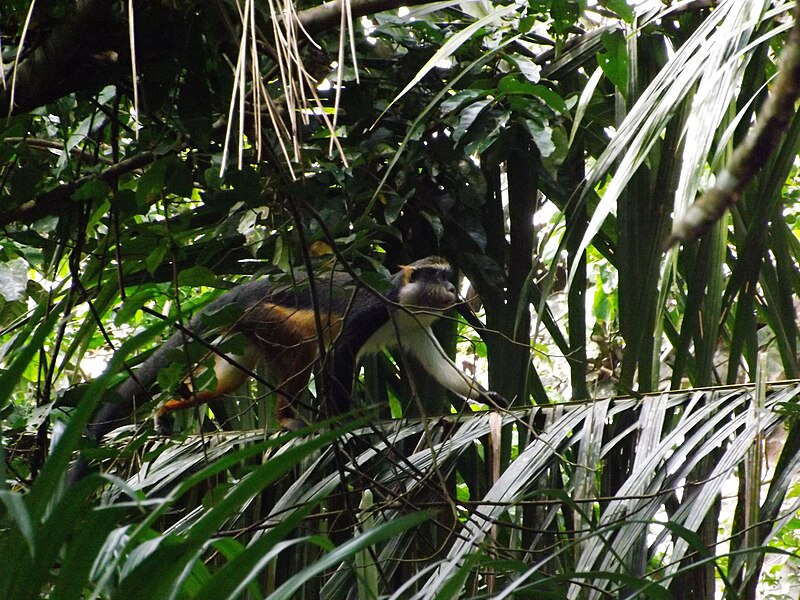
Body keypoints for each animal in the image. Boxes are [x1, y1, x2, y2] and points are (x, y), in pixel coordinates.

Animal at [81, 255, 506, 452]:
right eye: (439, 279)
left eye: (450, 280)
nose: (452, 292)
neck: (402, 300)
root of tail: (242, 293)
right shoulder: (374, 310)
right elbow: (338, 353)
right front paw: (346, 424)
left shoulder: (416, 326)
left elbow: (441, 368)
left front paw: (489, 397)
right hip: (266, 316)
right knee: (306, 343)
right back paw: (286, 417)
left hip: (241, 337)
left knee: (227, 381)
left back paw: (167, 407)